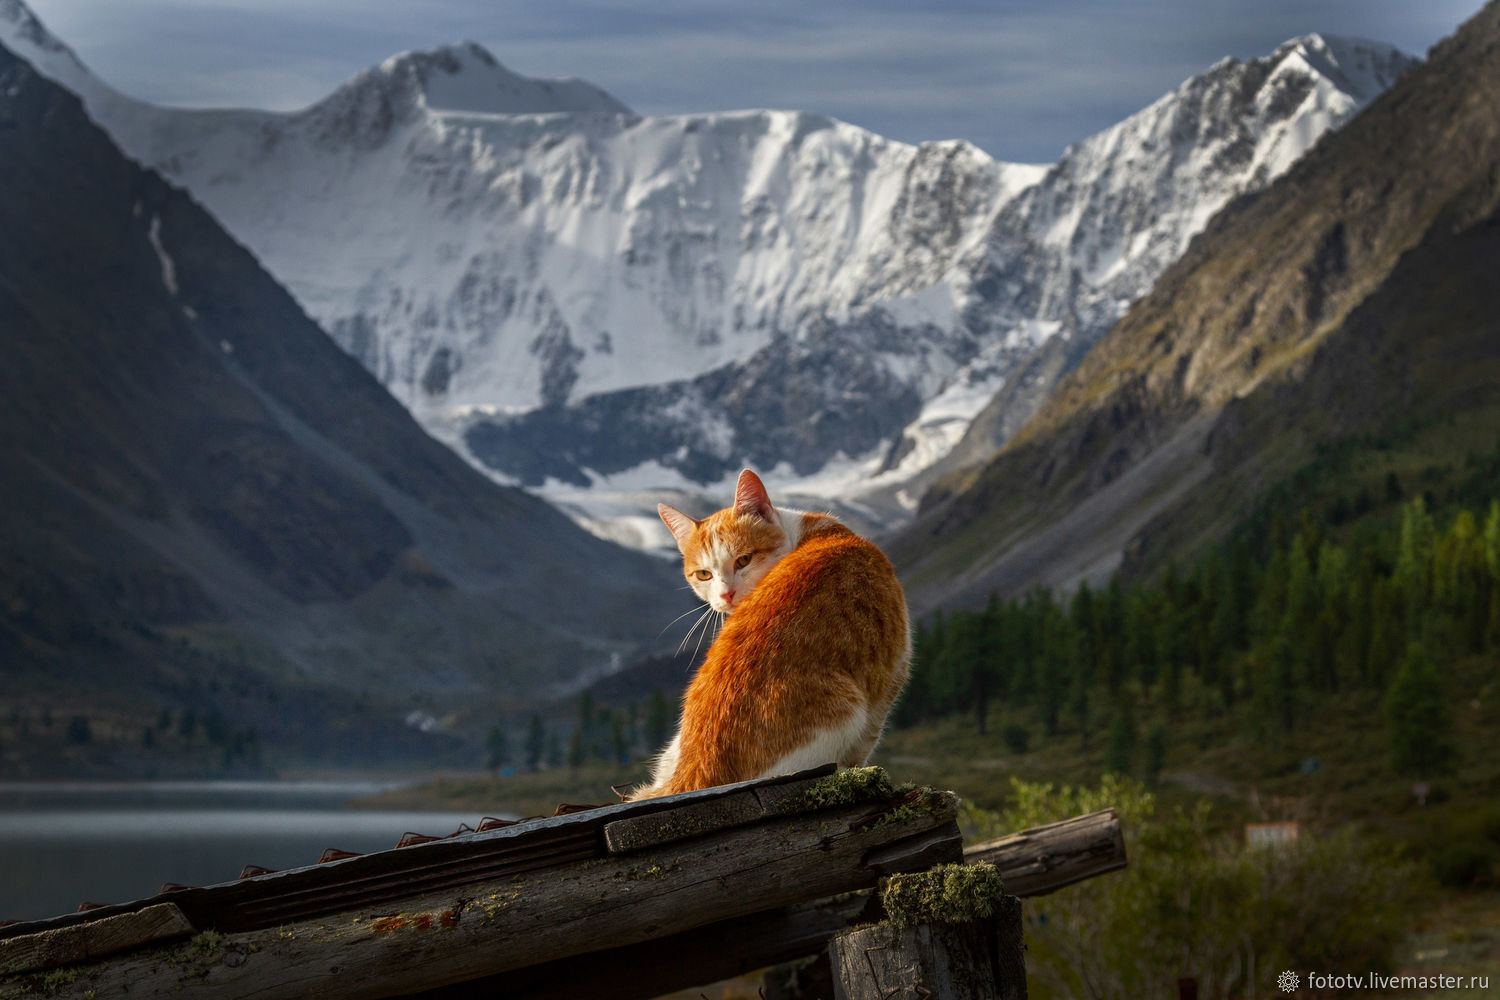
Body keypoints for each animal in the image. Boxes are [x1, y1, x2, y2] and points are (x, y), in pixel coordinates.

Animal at [627, 470, 906, 803]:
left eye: (744, 560)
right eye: (704, 574)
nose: (727, 594)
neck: (807, 532)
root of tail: (697, 767)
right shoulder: (888, 684)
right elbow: (864, 747)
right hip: (846, 713)